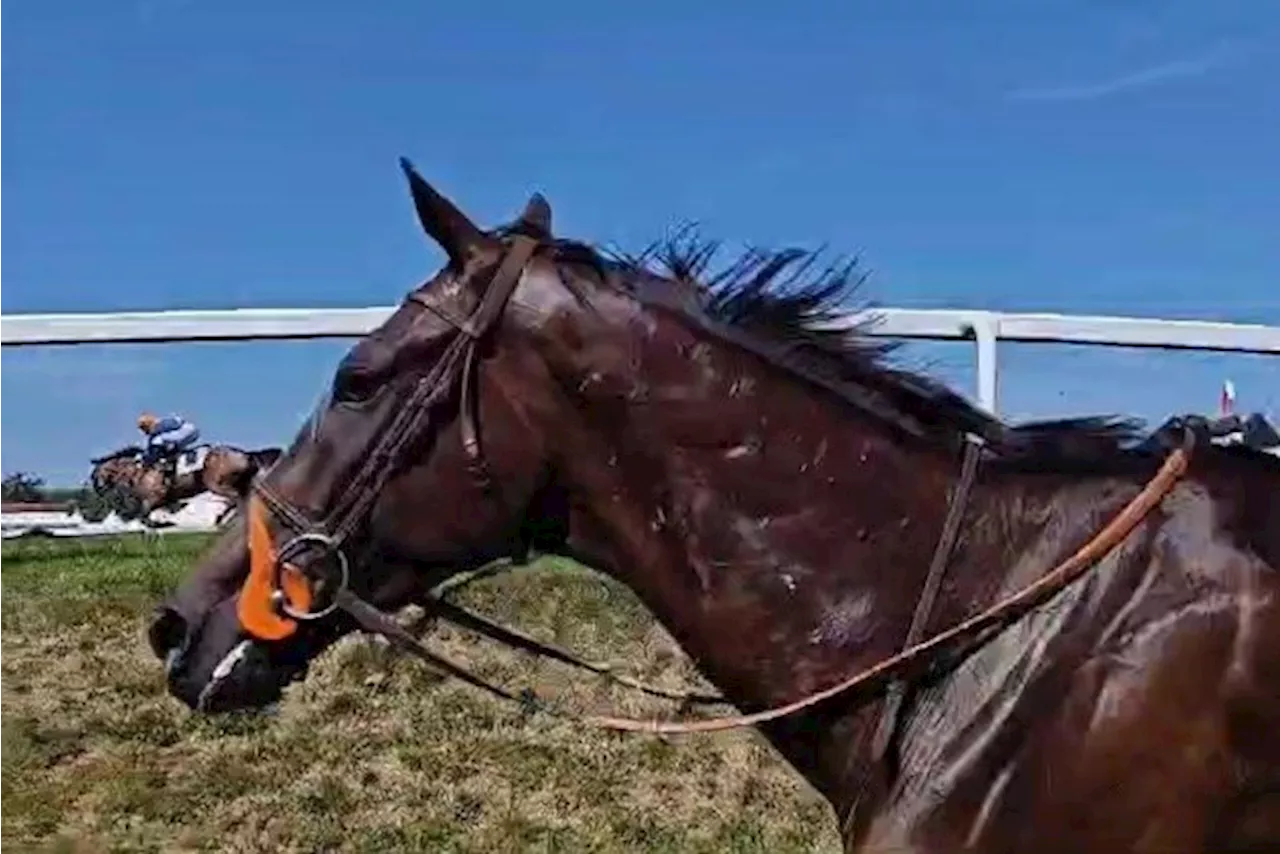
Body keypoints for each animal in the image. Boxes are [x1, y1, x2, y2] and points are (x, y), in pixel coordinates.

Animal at [90, 445, 280, 524]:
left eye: (96, 474)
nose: (98, 489)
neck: (140, 470)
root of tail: (245, 454)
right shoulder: (161, 501)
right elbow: (143, 517)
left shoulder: (153, 498)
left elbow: (143, 517)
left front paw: (166, 524)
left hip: (216, 484)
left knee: (235, 499)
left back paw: (222, 519)